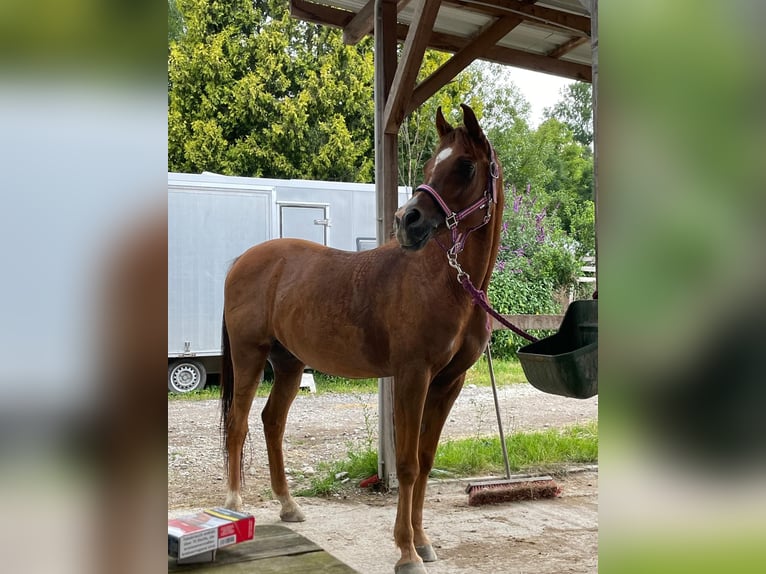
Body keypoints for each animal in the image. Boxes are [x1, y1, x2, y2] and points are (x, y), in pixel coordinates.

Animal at [222, 106, 508, 572]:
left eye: (465, 165)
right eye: (429, 166)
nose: (407, 221)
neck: (447, 284)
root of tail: (242, 261)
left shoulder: (449, 382)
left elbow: (426, 461)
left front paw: (423, 542)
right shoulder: (412, 376)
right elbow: (407, 464)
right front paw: (406, 552)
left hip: (289, 364)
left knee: (271, 422)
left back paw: (288, 506)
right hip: (250, 357)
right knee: (238, 423)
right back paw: (232, 505)